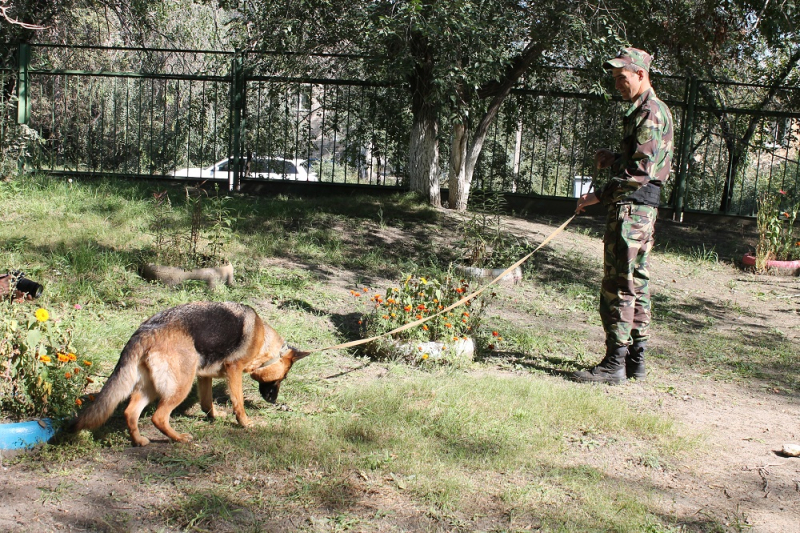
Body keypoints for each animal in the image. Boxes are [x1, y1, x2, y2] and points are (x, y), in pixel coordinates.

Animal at [72, 300, 310, 444]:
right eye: (283, 377)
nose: (274, 401)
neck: (263, 342)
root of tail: (145, 330)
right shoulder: (234, 371)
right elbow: (239, 403)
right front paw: (245, 423)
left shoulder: (204, 377)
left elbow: (207, 403)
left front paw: (214, 416)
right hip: (180, 386)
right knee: (159, 417)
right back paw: (178, 438)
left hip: (150, 388)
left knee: (130, 412)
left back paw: (139, 441)